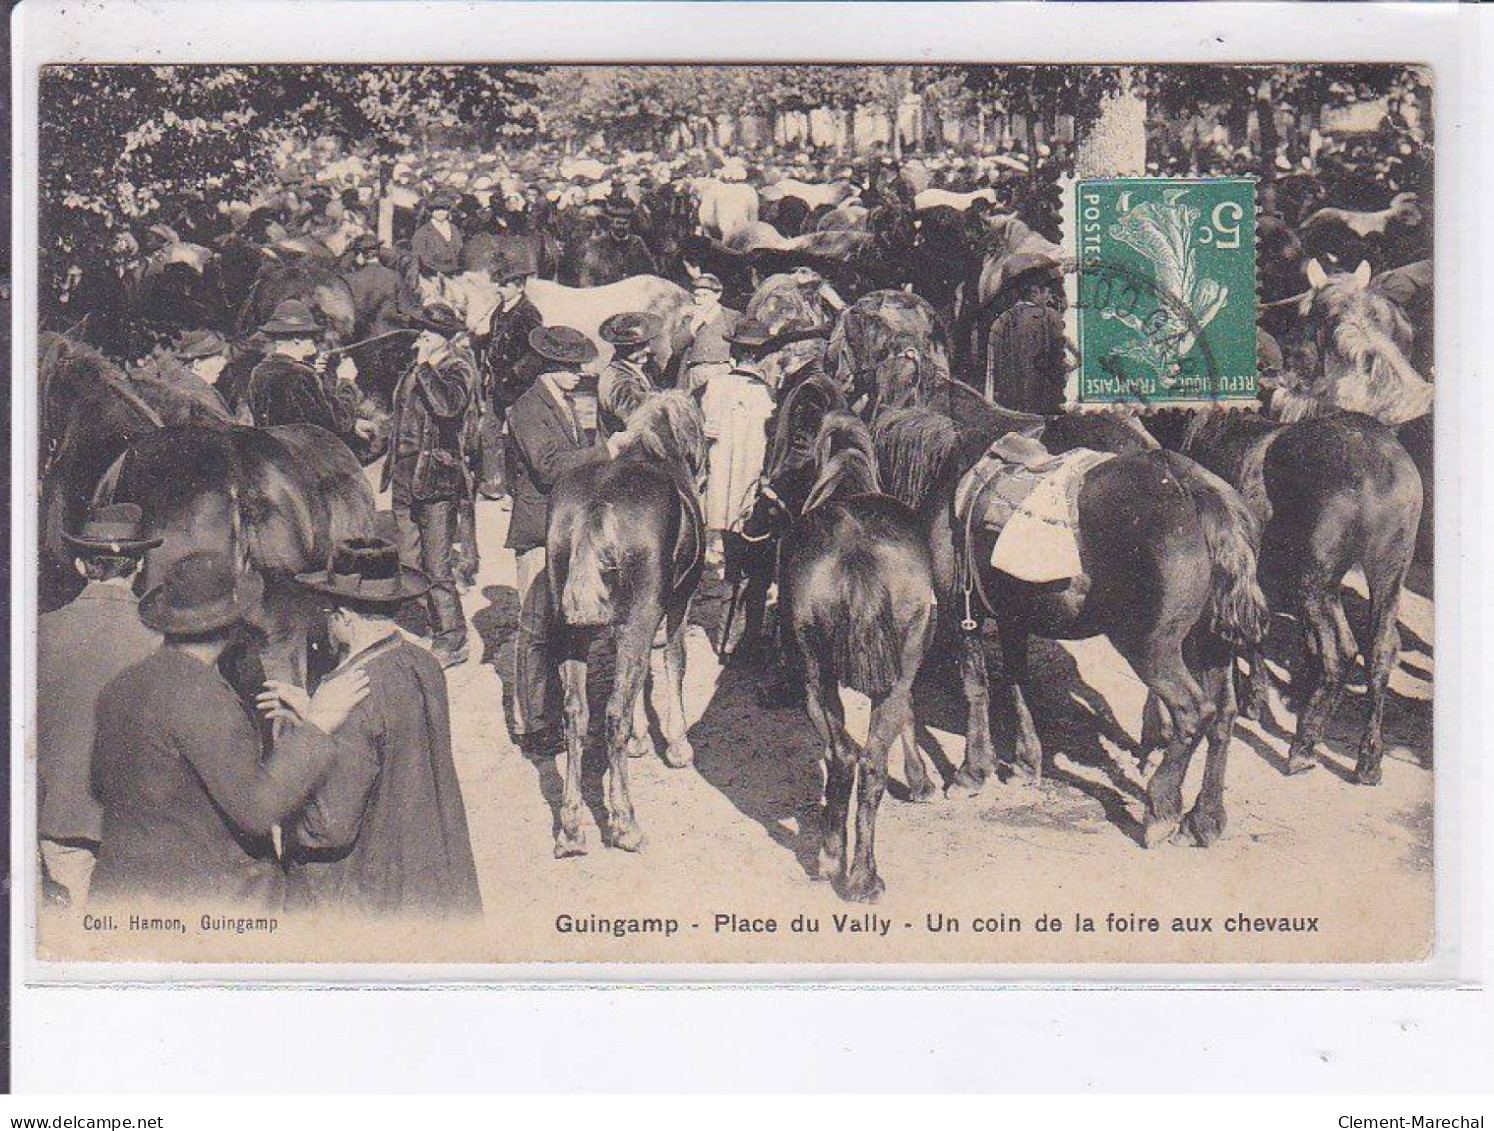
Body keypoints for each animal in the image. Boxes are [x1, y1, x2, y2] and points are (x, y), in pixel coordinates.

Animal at [549, 391, 711, 854]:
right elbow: (674, 662)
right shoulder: (676, 601)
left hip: (571, 631)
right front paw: (676, 744)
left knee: (576, 715)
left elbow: (640, 680)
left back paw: (571, 828)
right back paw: (625, 823)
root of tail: (597, 505)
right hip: (640, 618)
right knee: (612, 715)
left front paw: (642, 739)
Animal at [752, 415, 938, 902]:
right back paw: (858, 874)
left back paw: (836, 859)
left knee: (846, 756)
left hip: (815, 675)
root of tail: (858, 551)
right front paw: (921, 780)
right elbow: (909, 710)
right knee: (867, 761)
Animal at [872, 409, 1272, 848]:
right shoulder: (1013, 616)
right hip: (1212, 644)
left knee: (1193, 713)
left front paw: (973, 772)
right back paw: (1204, 819)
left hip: (1152, 649)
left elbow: (975, 688)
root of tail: (1199, 493)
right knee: (1224, 716)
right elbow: (1016, 680)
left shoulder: (966, 610)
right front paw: (1026, 762)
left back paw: (1161, 810)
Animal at [1177, 409, 1422, 782]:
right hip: (1386, 575)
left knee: (1340, 651)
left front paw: (1256, 700)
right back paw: (1367, 759)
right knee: (1379, 652)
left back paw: (1302, 749)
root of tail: (1383, 467)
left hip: (1316, 579)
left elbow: (1252, 635)